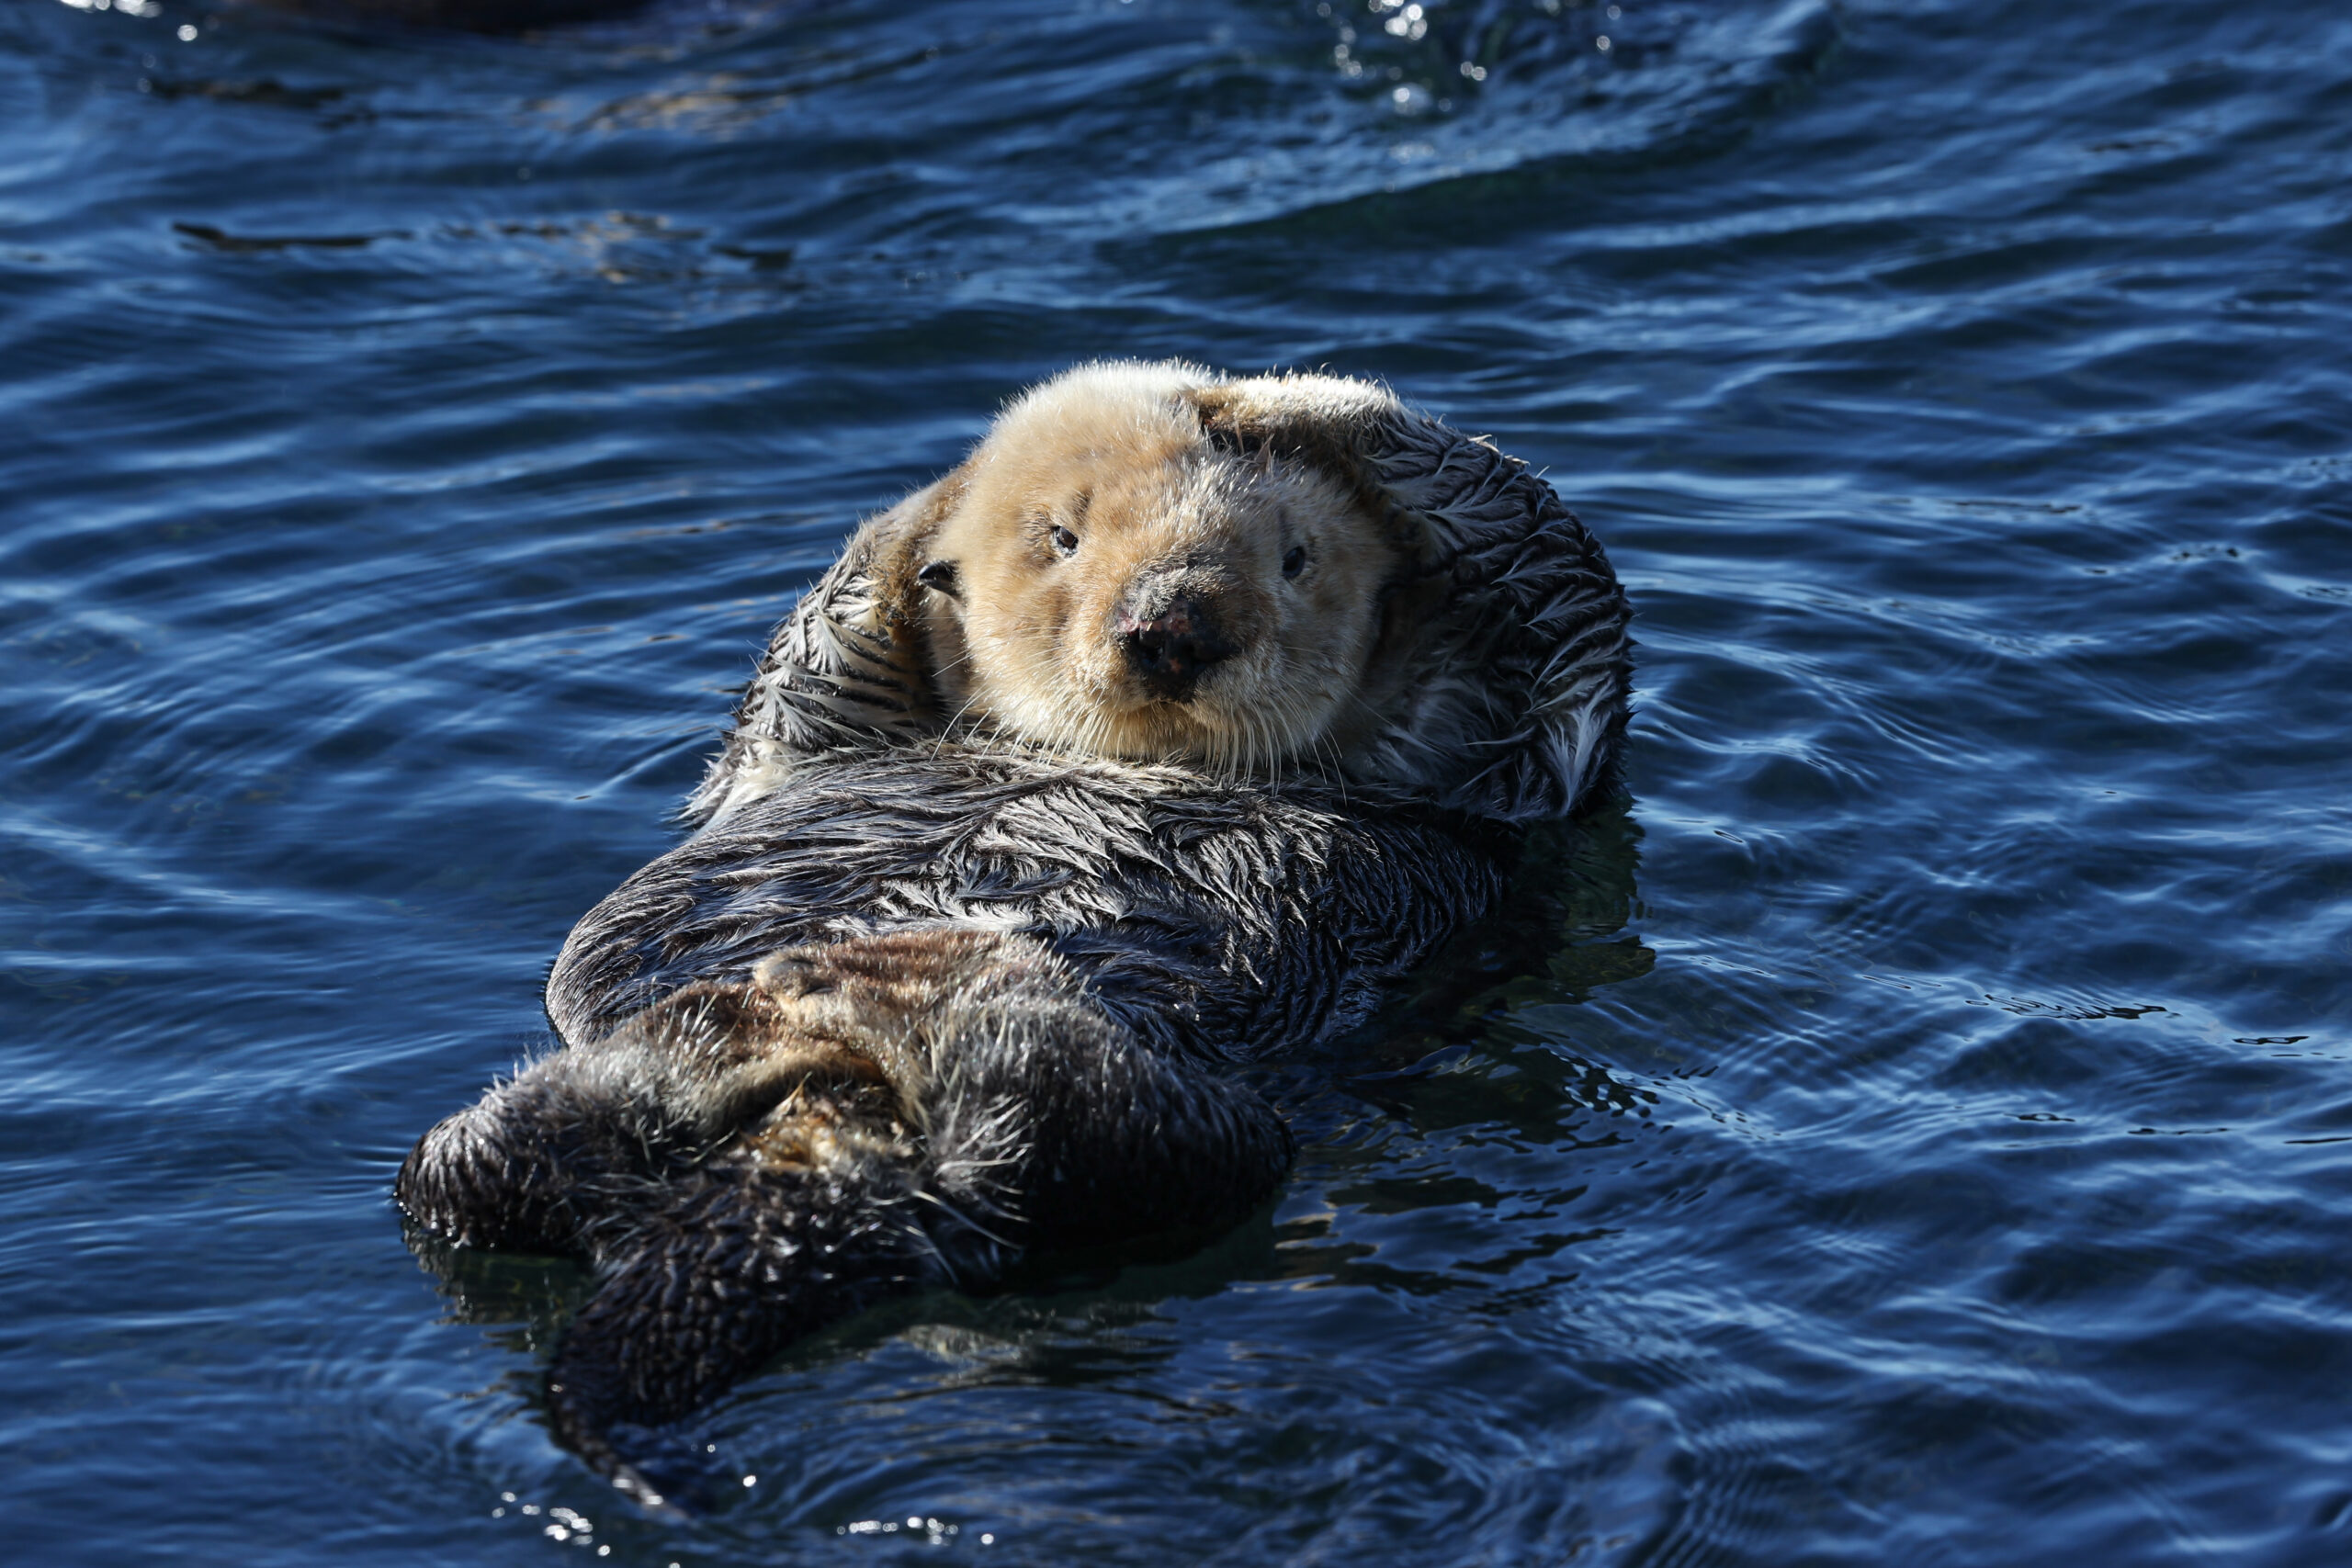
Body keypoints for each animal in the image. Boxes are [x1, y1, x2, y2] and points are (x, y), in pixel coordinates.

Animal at [395, 363, 1633, 1508]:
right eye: (1062, 537)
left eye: (1295, 559)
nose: (1170, 625)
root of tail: (822, 1162)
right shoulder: (800, 749)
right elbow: (809, 666)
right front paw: (958, 492)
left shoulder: (1503, 767)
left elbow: (1557, 587)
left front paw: (1285, 404)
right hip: (520, 1145)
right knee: (467, 1172)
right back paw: (749, 1025)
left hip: (1176, 1149)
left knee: (1058, 1138)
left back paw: (911, 993)